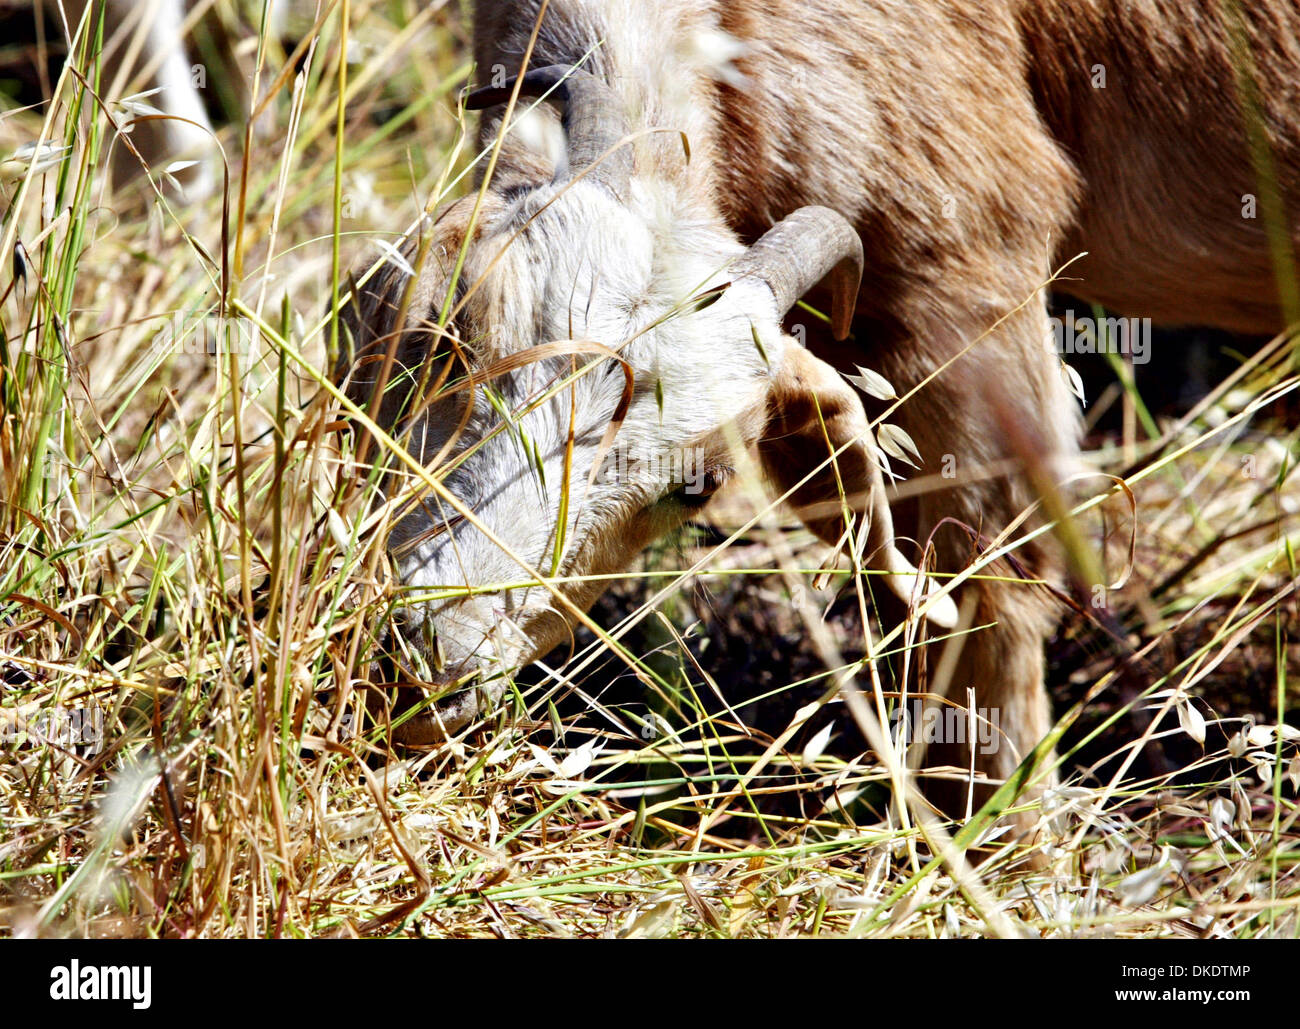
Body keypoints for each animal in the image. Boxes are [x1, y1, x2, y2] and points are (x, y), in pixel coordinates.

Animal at [339, 0, 1300, 841]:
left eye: (697, 486)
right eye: (446, 344)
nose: (431, 663)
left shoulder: (974, 274)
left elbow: (992, 584)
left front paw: (1018, 847)